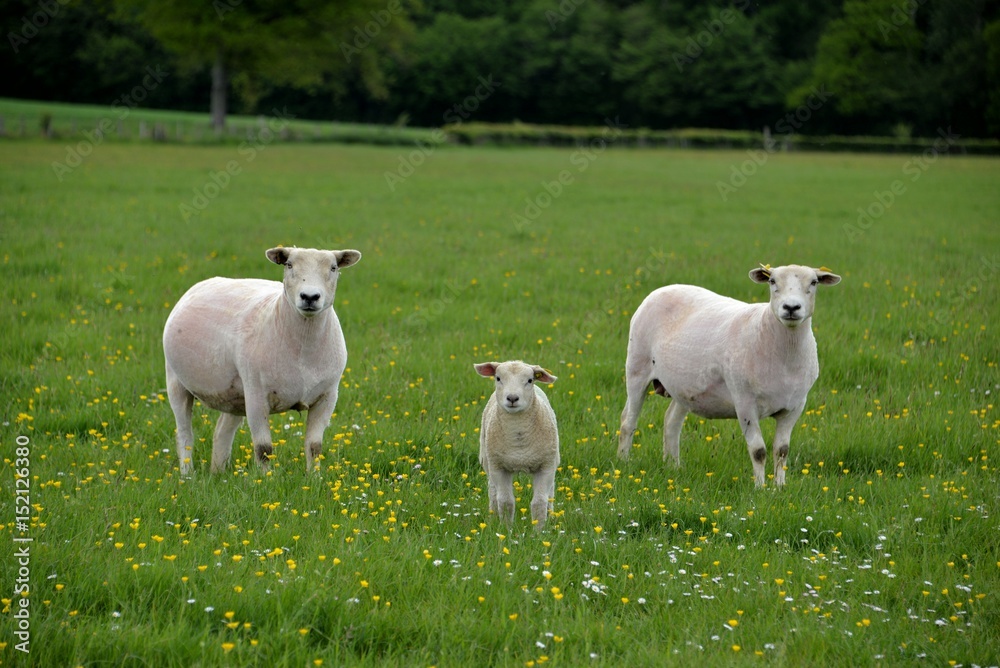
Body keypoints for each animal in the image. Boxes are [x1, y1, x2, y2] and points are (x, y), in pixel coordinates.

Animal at [162, 246, 361, 475]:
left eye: (334, 267)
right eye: (289, 265)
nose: (310, 297)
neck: (304, 352)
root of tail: (201, 284)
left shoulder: (328, 396)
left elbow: (314, 447)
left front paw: (315, 478)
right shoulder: (257, 395)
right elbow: (264, 448)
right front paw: (266, 480)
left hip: (236, 395)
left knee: (222, 431)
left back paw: (217, 473)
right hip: (176, 381)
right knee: (184, 435)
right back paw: (187, 476)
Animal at [475, 361, 559, 530]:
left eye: (530, 380)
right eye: (498, 378)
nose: (512, 398)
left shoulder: (546, 466)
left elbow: (539, 502)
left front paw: (539, 531)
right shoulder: (499, 467)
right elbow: (505, 502)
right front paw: (506, 529)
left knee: (551, 493)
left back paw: (551, 516)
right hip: (488, 461)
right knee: (493, 492)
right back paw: (492, 517)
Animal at [617, 264, 841, 487]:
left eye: (814, 282)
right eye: (772, 281)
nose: (791, 308)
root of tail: (662, 289)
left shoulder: (794, 407)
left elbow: (782, 451)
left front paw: (779, 487)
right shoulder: (744, 403)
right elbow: (758, 451)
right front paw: (760, 488)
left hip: (683, 387)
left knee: (671, 422)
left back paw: (673, 466)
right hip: (637, 367)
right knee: (628, 421)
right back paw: (624, 462)